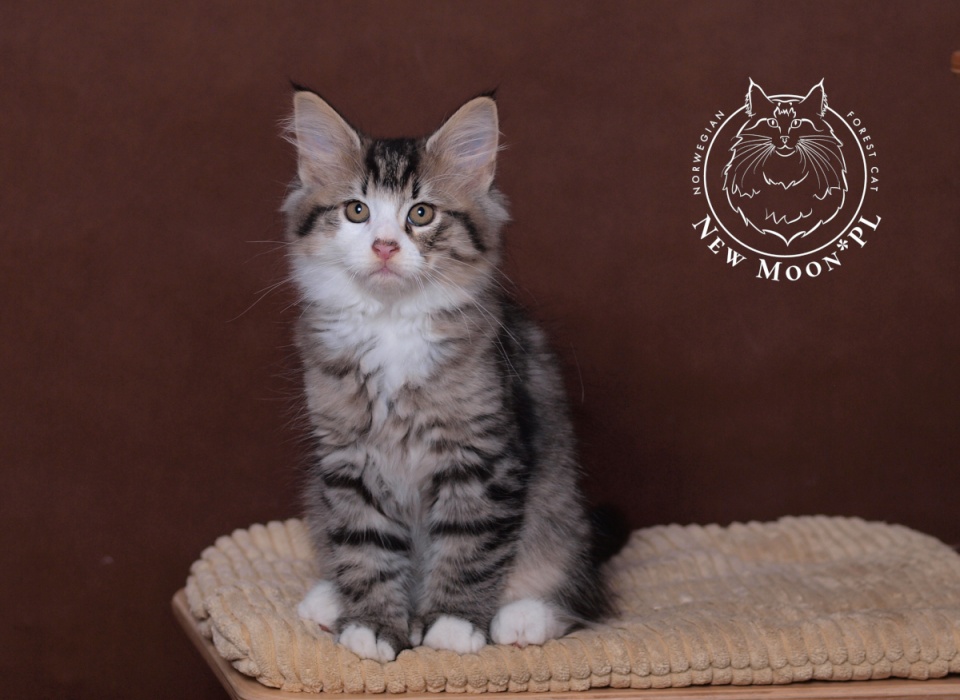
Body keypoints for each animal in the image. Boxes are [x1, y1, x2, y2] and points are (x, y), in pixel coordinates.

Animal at [282, 88, 611, 662]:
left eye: (421, 213)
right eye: (357, 211)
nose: (385, 246)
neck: (391, 324)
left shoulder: (481, 454)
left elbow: (468, 545)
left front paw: (453, 625)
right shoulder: (348, 458)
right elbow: (366, 547)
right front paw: (371, 626)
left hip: (562, 513)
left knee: (579, 593)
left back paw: (524, 617)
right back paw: (328, 599)